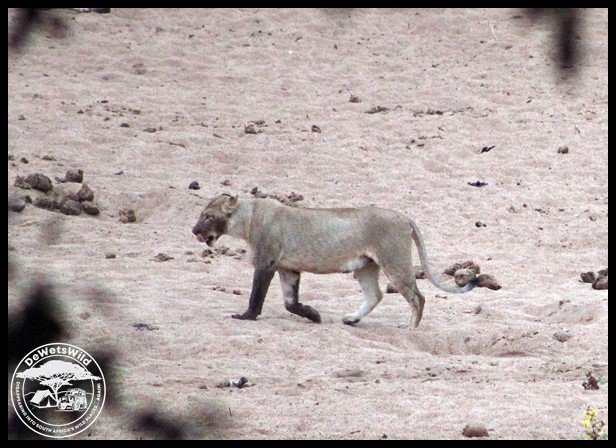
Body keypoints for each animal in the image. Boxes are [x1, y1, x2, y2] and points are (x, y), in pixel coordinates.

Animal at [192, 193, 478, 327]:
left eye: (208, 216)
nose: (194, 231)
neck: (249, 217)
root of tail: (403, 216)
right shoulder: (288, 267)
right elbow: (290, 303)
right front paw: (314, 315)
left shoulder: (266, 262)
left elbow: (256, 295)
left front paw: (246, 317)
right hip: (366, 266)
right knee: (375, 295)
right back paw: (351, 319)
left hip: (394, 261)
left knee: (418, 297)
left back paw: (409, 327)